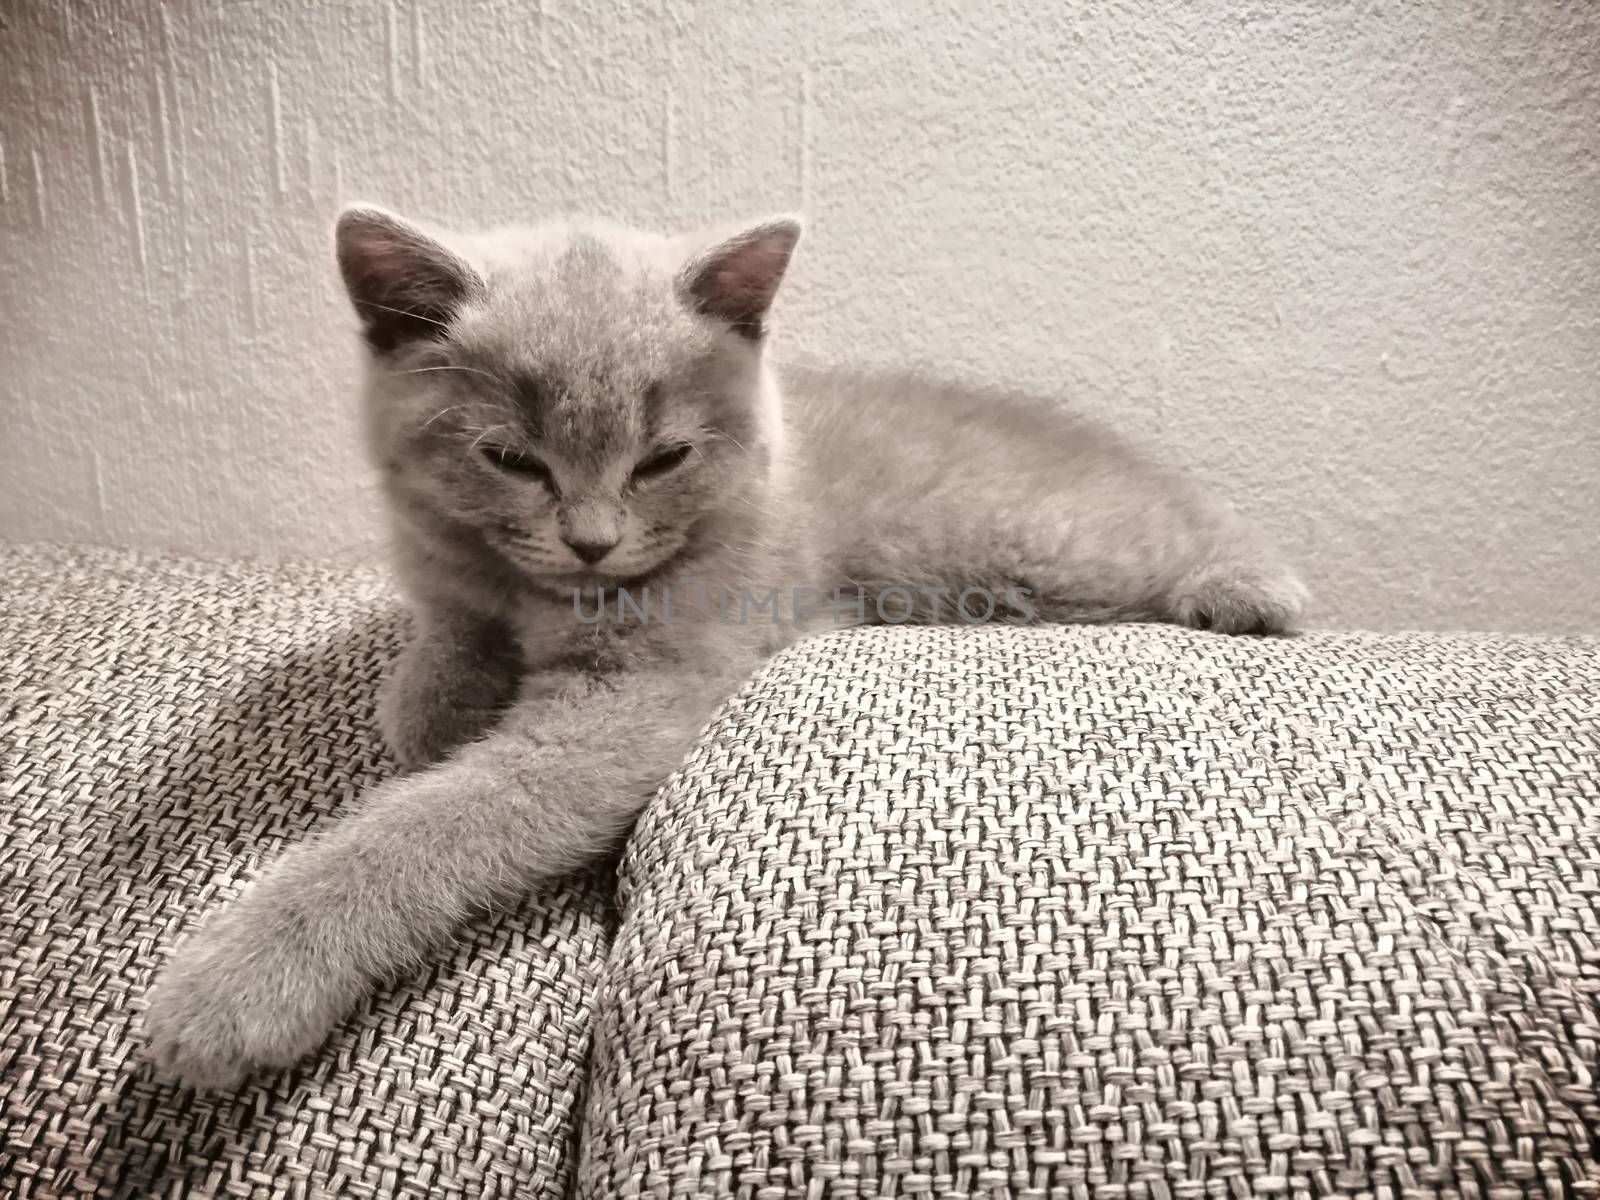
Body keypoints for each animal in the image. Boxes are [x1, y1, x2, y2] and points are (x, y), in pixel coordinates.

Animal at [144, 206, 1305, 1088]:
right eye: (510, 458)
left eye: (662, 458)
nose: (592, 541)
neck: (536, 594)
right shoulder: (449, 569)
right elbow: (434, 657)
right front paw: (439, 696)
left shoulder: (638, 692)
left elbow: (434, 823)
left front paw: (237, 986)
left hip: (1044, 546)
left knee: (1182, 535)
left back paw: (1250, 590)